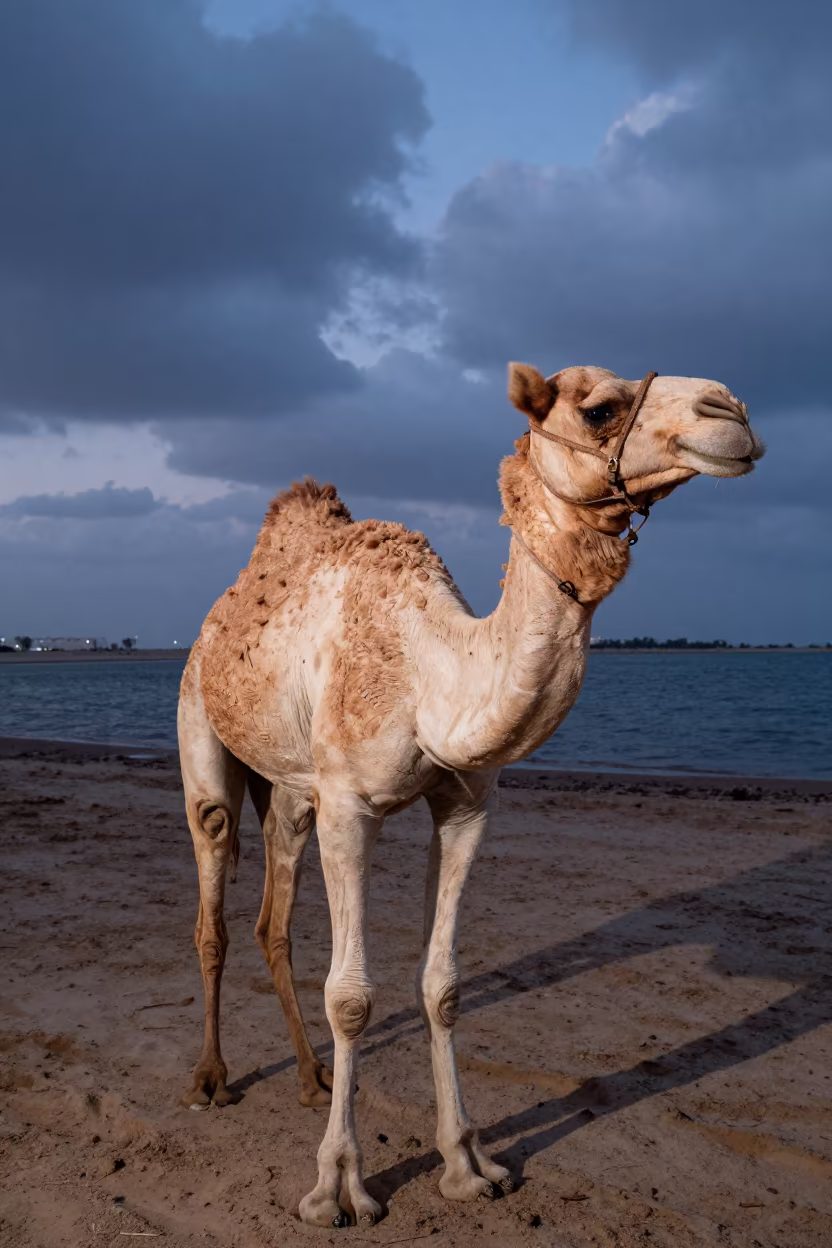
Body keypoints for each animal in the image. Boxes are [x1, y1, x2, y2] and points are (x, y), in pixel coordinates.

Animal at [177, 362, 763, 1228]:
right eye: (599, 408)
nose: (731, 410)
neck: (431, 674)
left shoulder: (464, 806)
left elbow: (443, 986)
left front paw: (468, 1165)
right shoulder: (351, 806)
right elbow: (352, 997)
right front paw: (339, 1187)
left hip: (291, 789)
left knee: (271, 921)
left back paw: (311, 1077)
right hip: (203, 727)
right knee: (214, 893)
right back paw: (211, 1079)